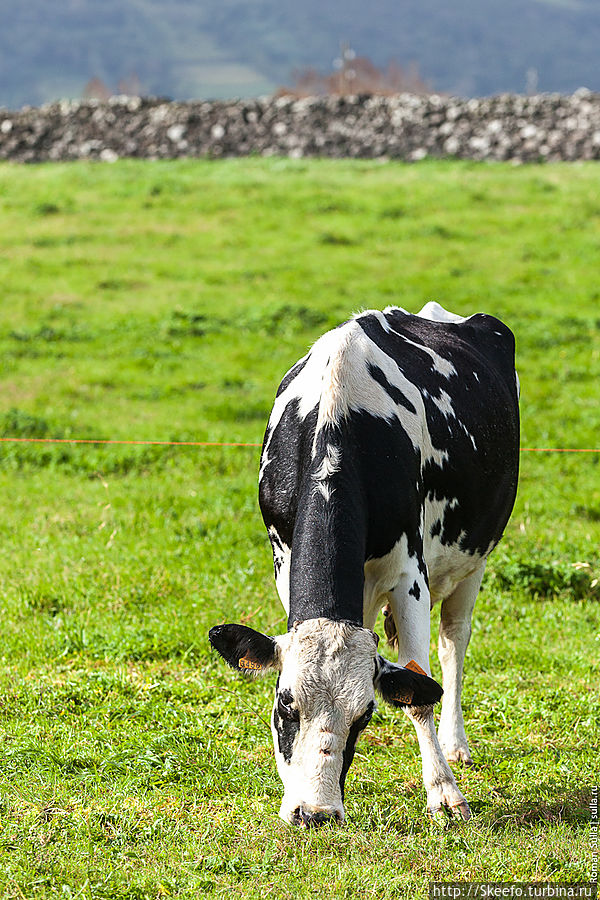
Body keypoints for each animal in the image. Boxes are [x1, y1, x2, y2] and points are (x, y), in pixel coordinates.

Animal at [209, 304, 516, 828]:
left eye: (365, 715)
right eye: (285, 704)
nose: (314, 813)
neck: (339, 418)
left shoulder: (410, 576)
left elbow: (419, 692)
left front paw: (444, 793)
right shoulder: (285, 563)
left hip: (473, 558)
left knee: (453, 643)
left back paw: (455, 744)